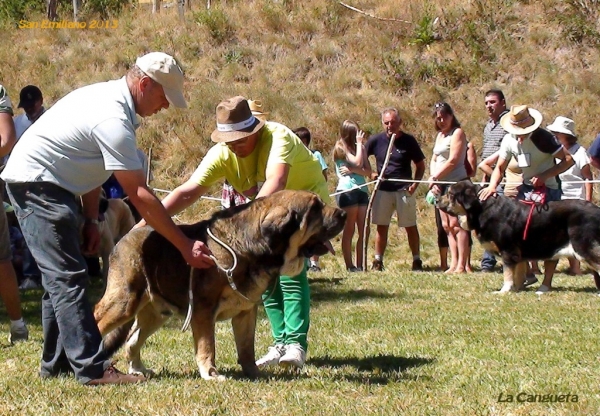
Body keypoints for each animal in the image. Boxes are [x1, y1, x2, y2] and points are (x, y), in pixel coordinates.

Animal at [94, 190, 346, 378]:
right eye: (315, 208)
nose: (343, 213)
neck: (248, 245)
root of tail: (125, 237)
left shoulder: (246, 312)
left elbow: (246, 348)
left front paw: (254, 372)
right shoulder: (203, 311)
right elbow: (207, 346)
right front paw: (211, 373)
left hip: (155, 314)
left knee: (132, 340)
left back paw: (138, 370)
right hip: (124, 303)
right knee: (98, 320)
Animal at [436, 181, 600, 292]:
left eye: (450, 194)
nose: (436, 200)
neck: (482, 209)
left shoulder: (508, 251)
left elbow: (508, 274)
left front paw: (503, 291)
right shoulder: (518, 254)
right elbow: (518, 274)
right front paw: (516, 289)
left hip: (583, 248)